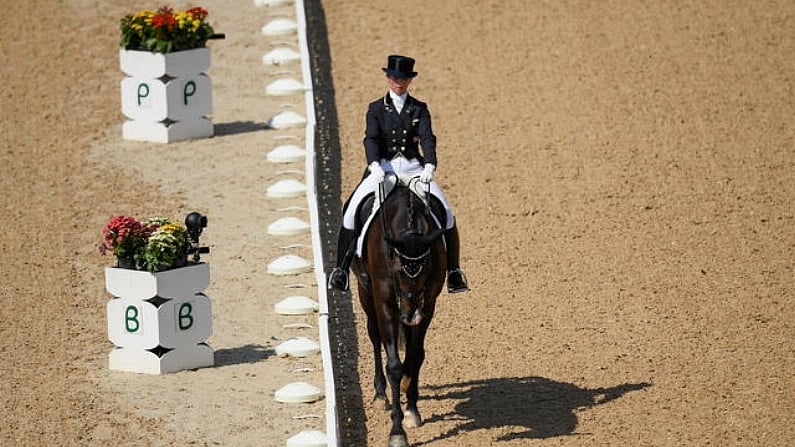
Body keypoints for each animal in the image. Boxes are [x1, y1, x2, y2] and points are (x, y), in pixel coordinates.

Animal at [352, 179, 448, 447]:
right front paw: (396, 431)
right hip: (366, 296)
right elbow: (393, 365)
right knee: (375, 337)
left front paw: (412, 410)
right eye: (396, 270)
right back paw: (379, 395)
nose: (409, 314)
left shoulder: (428, 304)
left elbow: (415, 356)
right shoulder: (385, 303)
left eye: (427, 268)